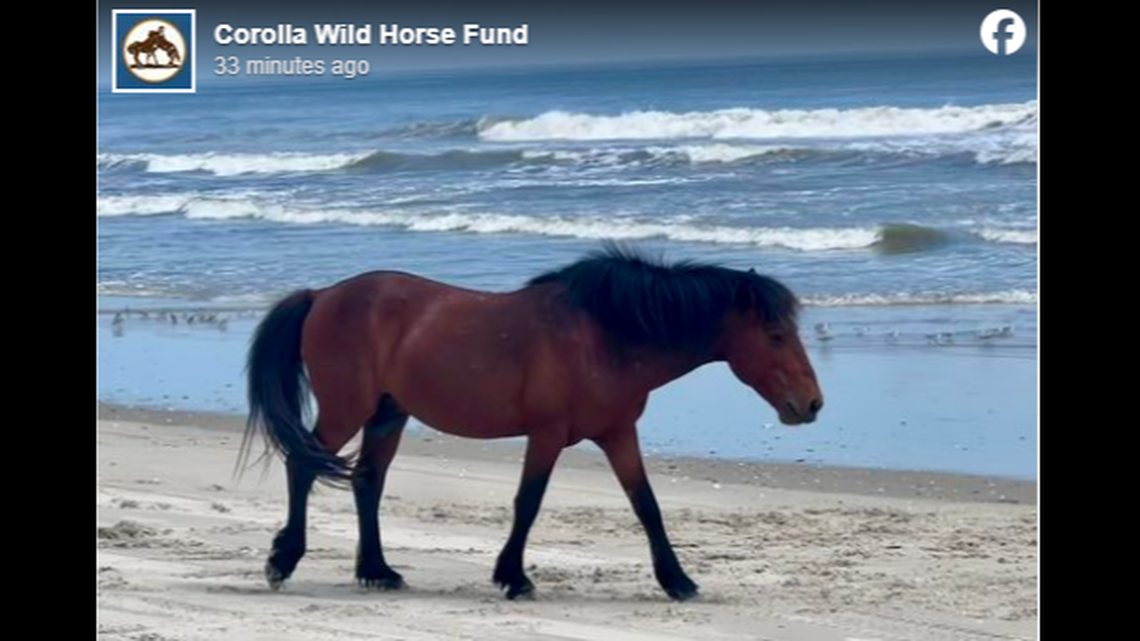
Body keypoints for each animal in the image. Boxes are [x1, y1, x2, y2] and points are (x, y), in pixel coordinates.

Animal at [242, 244, 823, 601]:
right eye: (775, 336)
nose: (812, 404)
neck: (605, 336)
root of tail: (322, 295)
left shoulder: (618, 434)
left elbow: (647, 506)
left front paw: (678, 581)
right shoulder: (546, 435)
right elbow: (529, 502)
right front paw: (513, 578)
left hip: (388, 414)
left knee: (367, 482)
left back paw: (377, 571)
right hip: (349, 409)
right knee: (303, 466)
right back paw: (282, 561)